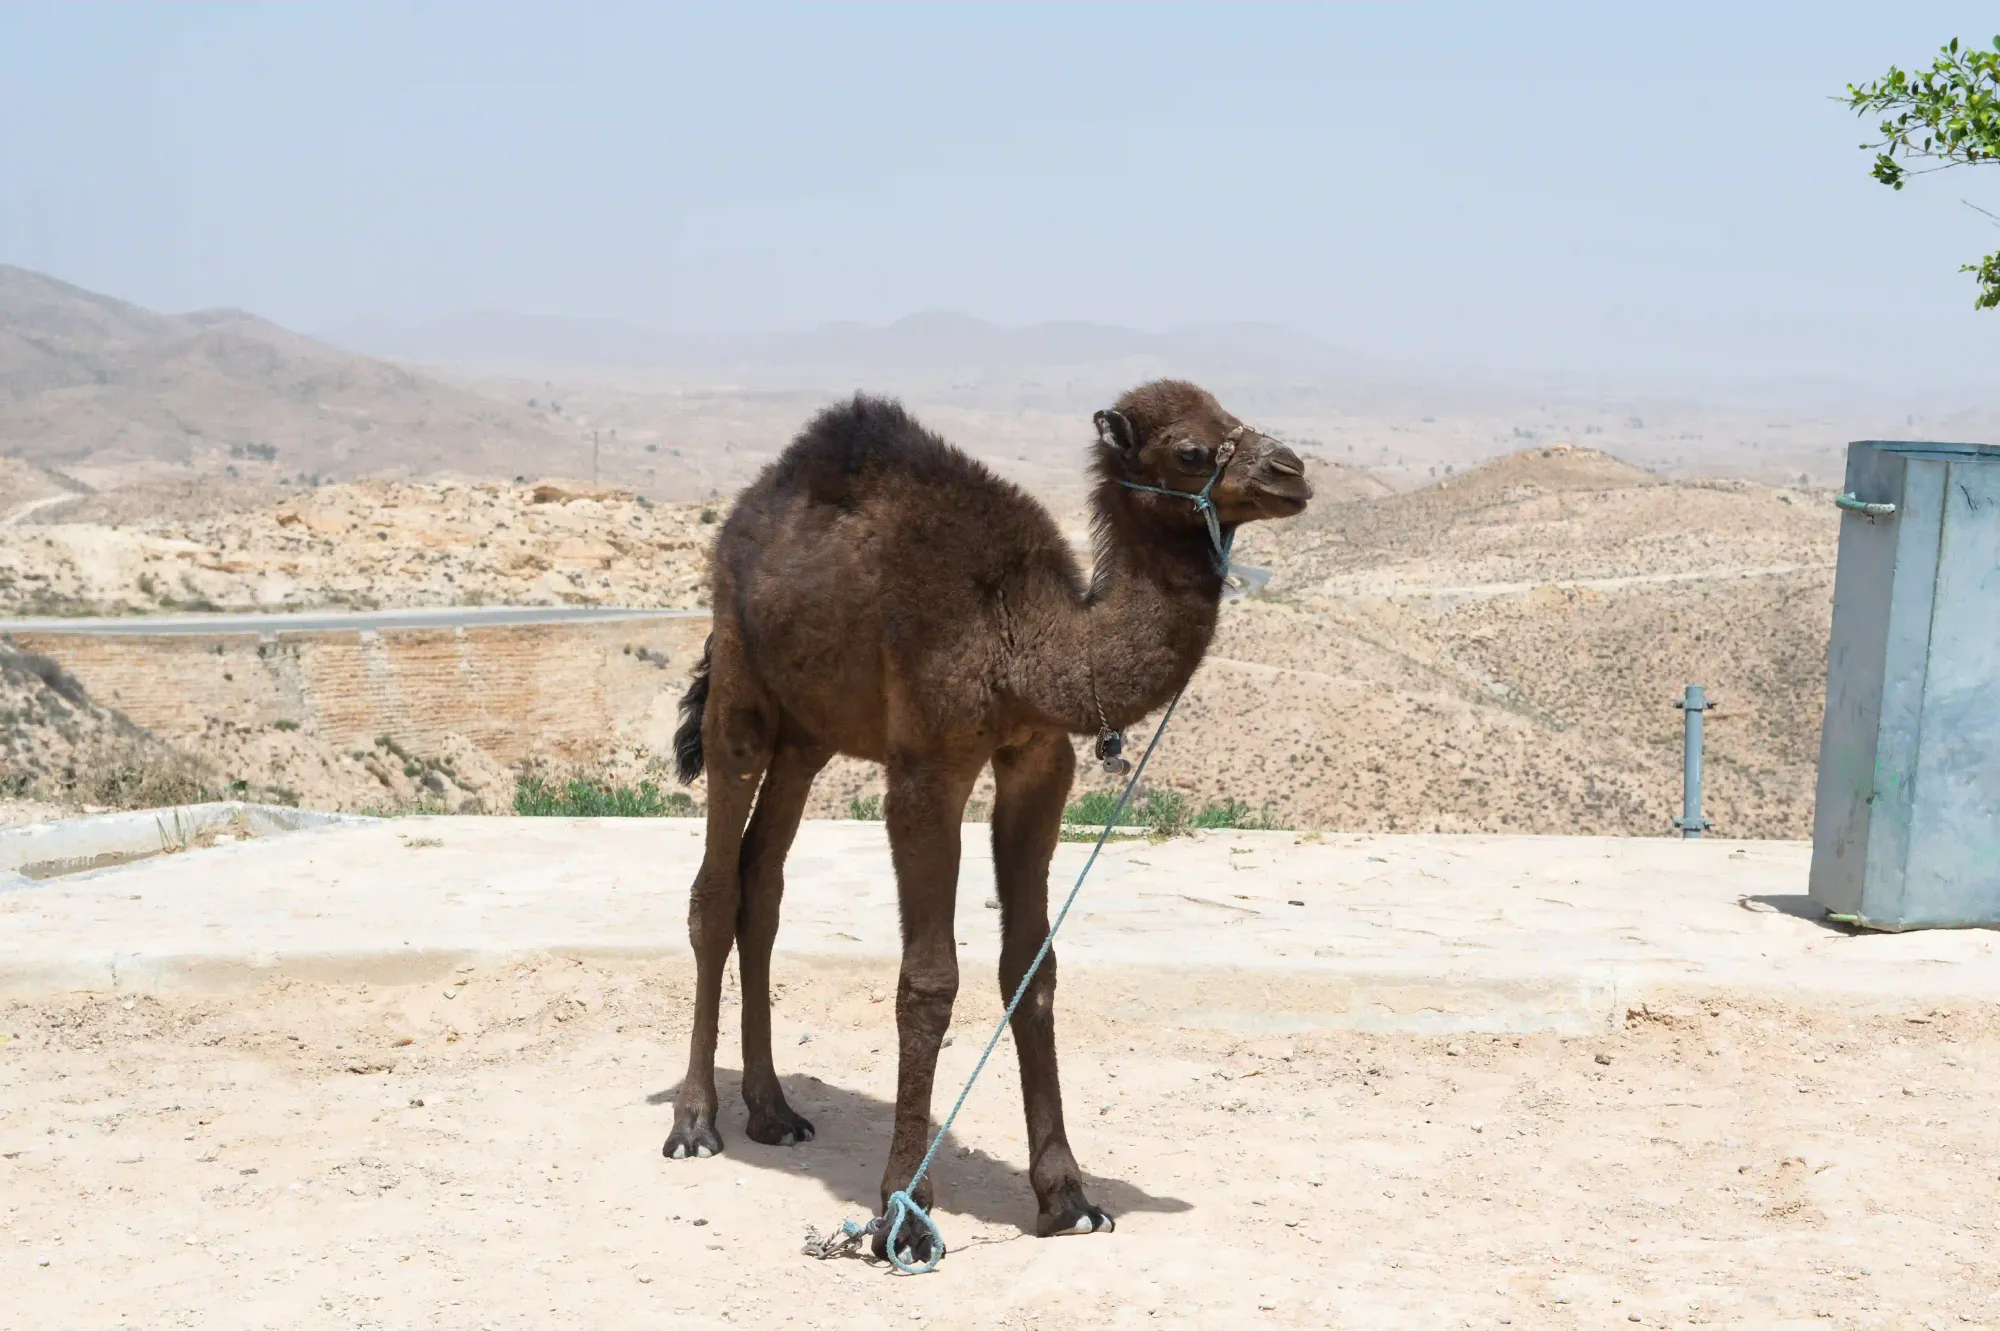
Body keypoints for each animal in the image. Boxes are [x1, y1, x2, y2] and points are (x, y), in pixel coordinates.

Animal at [662, 380, 1310, 1258]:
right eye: (1190, 449)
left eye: (1231, 417)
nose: (1292, 471)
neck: (1027, 641)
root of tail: (746, 513)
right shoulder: (926, 765)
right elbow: (930, 979)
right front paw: (902, 1209)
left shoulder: (1040, 757)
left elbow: (1033, 968)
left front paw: (1069, 1196)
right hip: (741, 682)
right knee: (716, 887)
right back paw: (696, 1120)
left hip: (809, 731)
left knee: (763, 884)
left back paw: (774, 1111)